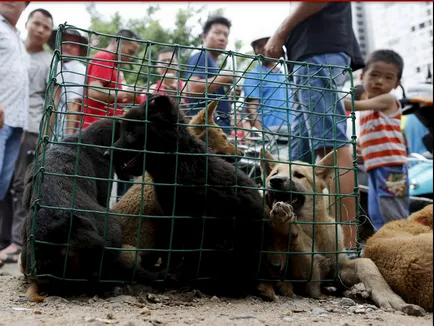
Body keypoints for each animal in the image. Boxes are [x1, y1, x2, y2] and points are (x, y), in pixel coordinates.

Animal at [256, 150, 426, 314]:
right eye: (274, 173)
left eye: (299, 175)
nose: (274, 180)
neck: (311, 228)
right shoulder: (308, 280)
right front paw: (286, 224)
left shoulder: (338, 270)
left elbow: (366, 264)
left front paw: (388, 296)